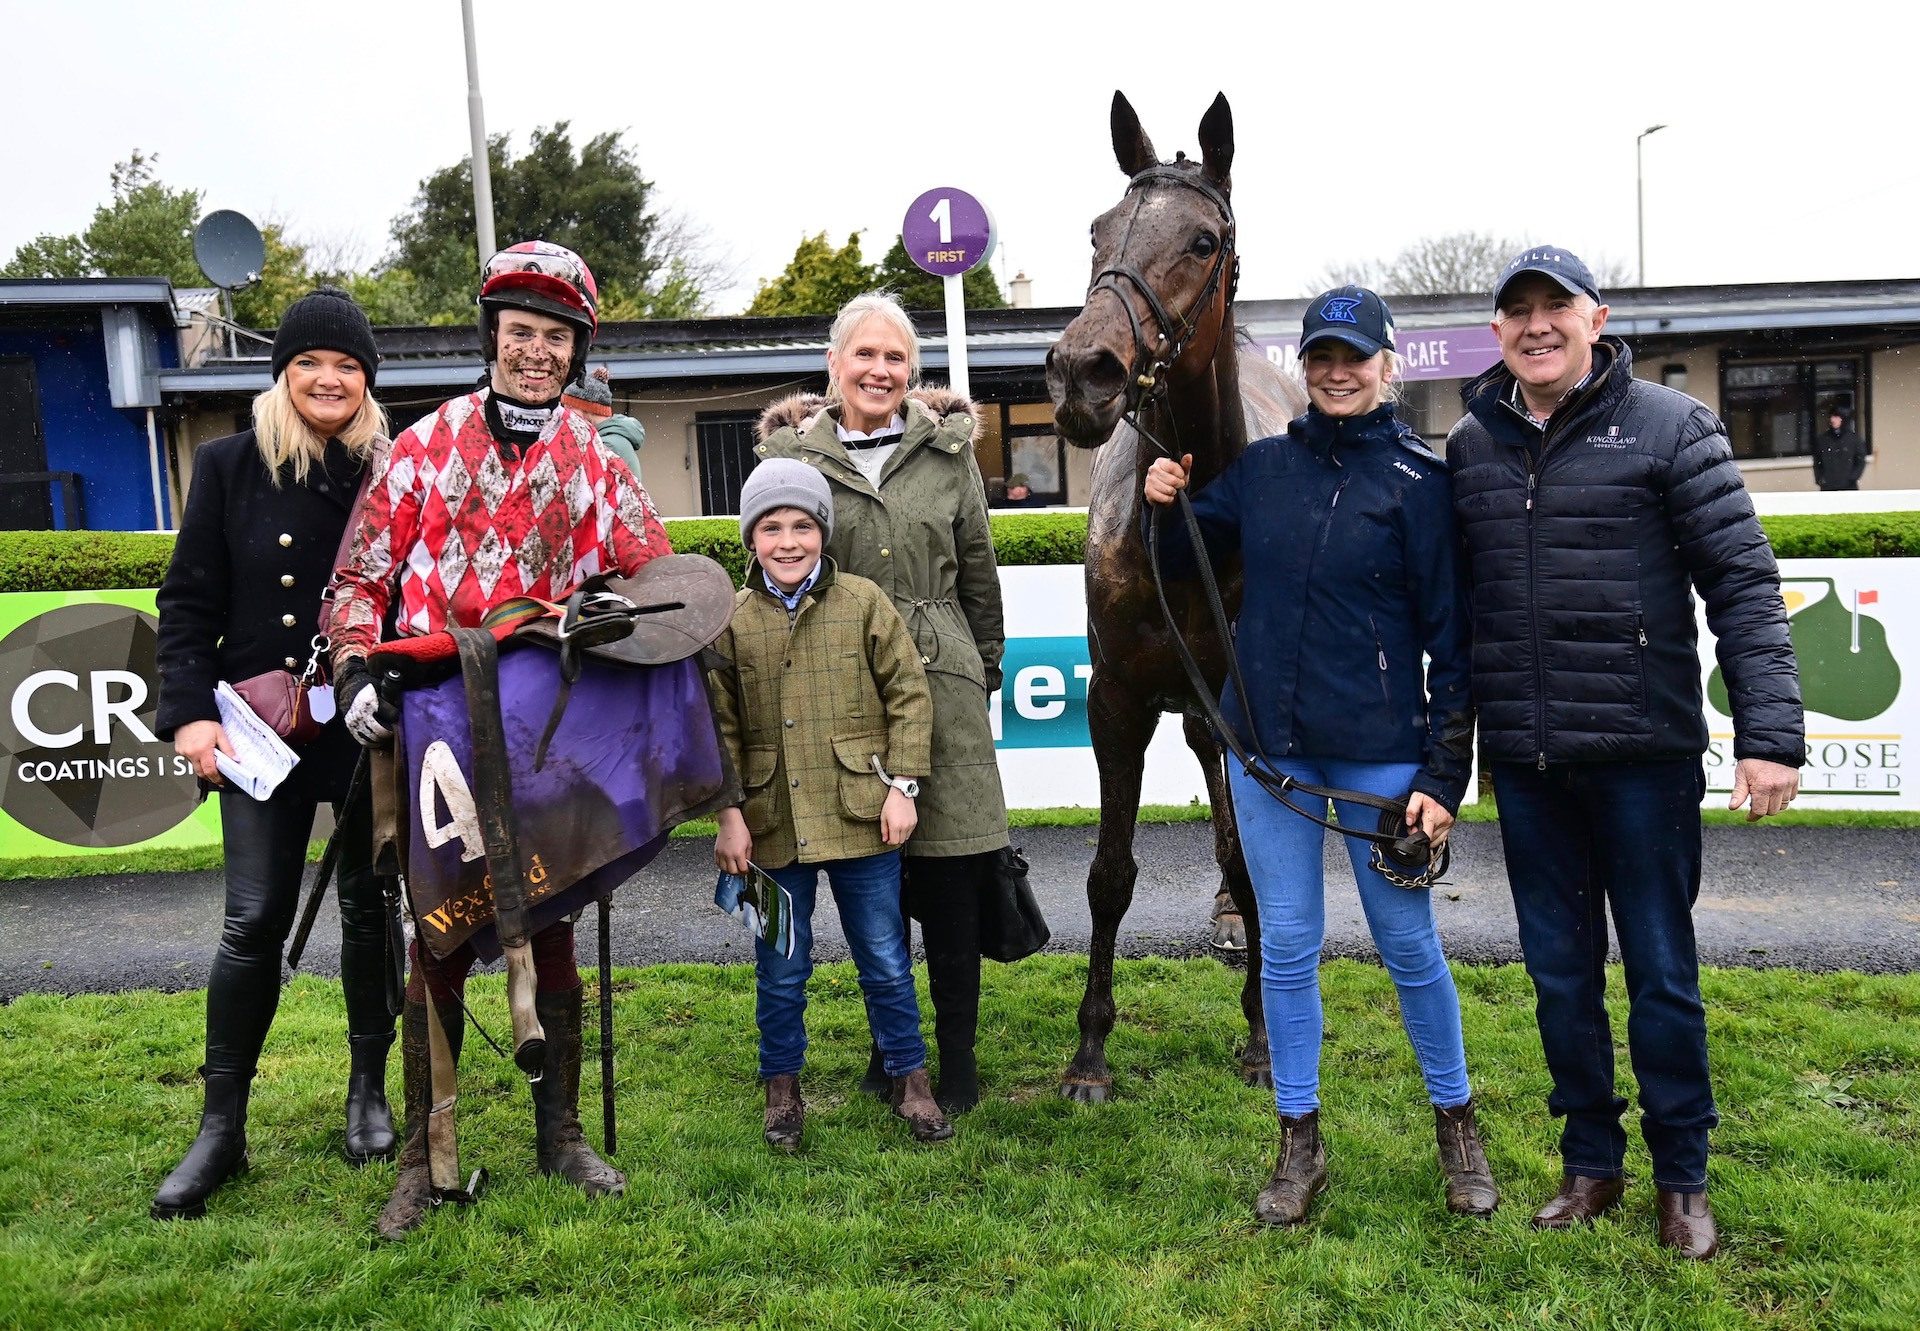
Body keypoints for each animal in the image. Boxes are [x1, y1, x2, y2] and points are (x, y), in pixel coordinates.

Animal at [1044, 93, 1313, 1098]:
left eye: (1202, 240)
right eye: (1097, 231)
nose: (1084, 371)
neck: (1189, 522)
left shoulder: (1245, 698)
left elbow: (1255, 855)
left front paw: (1264, 1032)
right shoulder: (1118, 698)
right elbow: (1108, 873)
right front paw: (1089, 1050)